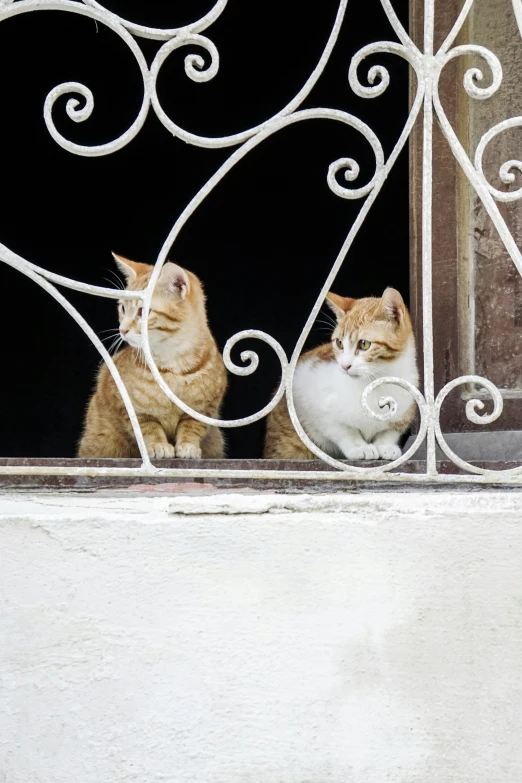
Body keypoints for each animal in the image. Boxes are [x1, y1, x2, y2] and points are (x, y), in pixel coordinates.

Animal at [77, 254, 225, 456]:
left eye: (143, 312)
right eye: (123, 308)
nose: (122, 329)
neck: (173, 365)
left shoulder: (204, 408)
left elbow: (192, 427)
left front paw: (188, 446)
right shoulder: (130, 408)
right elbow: (148, 428)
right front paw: (158, 446)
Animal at [262, 288, 416, 460]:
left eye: (364, 344)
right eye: (339, 343)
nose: (345, 366)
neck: (375, 382)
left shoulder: (405, 411)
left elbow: (389, 432)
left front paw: (386, 446)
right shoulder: (308, 397)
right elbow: (342, 430)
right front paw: (359, 446)